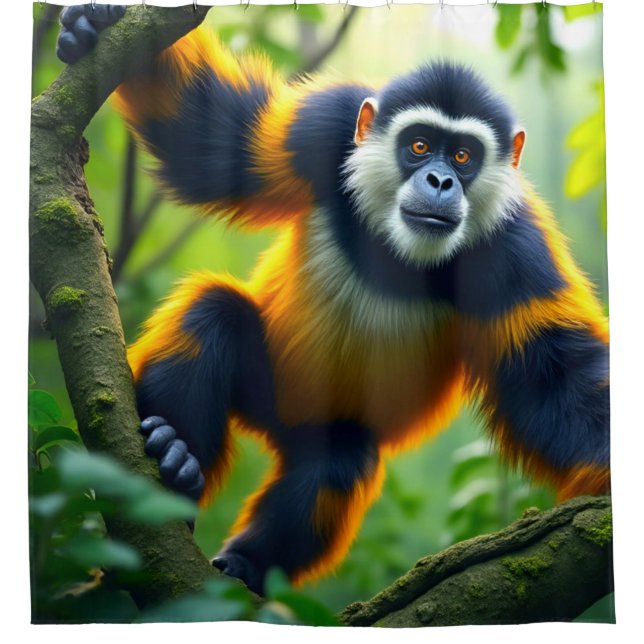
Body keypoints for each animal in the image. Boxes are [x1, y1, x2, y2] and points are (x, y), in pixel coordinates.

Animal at [57, 6, 610, 596]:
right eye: (419, 145)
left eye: (463, 155)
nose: (440, 180)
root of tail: (277, 426)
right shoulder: (327, 125)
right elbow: (218, 143)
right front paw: (93, 24)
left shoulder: (516, 246)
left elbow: (553, 379)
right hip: (269, 381)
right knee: (214, 311)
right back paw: (171, 468)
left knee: (340, 460)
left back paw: (242, 558)